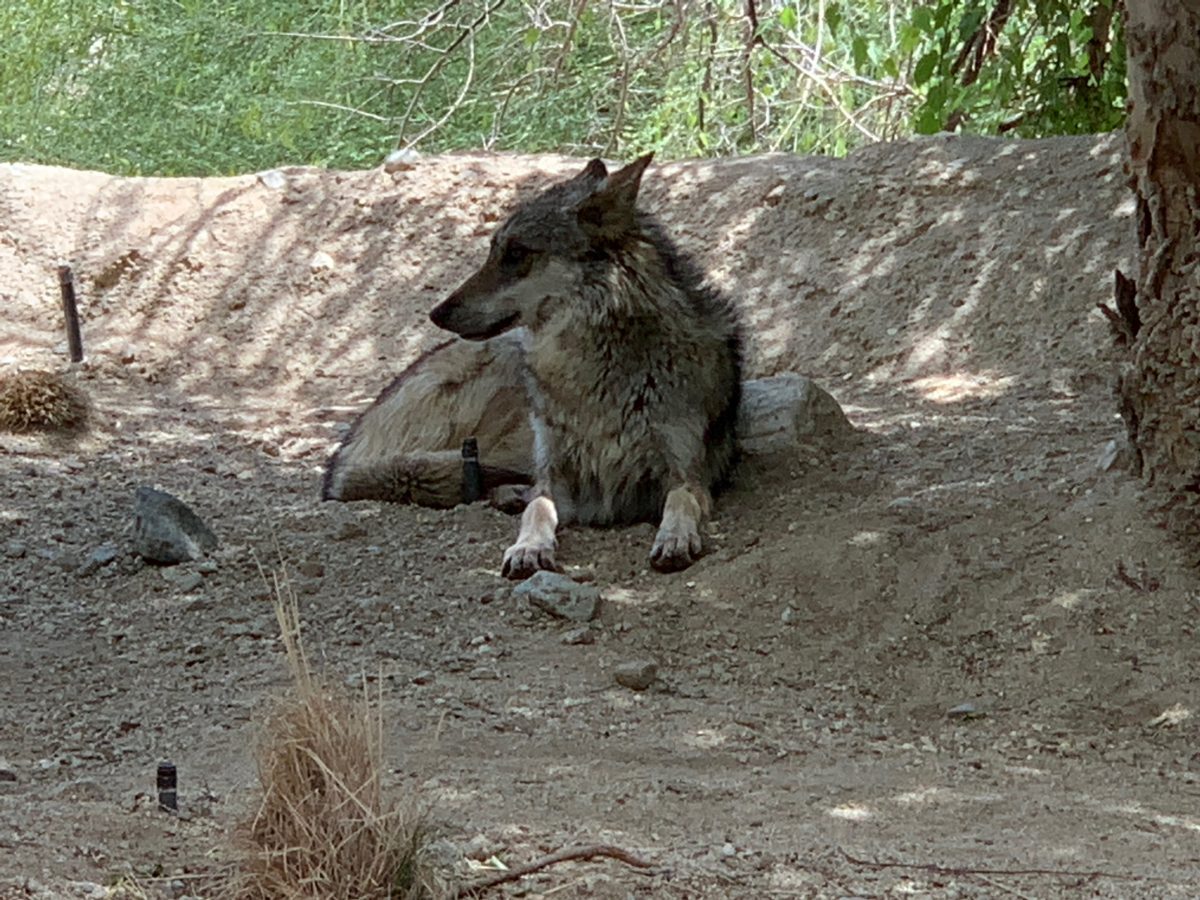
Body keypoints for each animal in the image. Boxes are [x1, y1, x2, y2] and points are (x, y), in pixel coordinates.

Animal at [324, 154, 744, 578]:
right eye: (493, 252)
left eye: (516, 254)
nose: (436, 313)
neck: (598, 372)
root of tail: (341, 457)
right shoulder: (554, 473)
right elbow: (538, 508)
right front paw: (528, 547)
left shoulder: (688, 472)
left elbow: (681, 501)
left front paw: (675, 538)